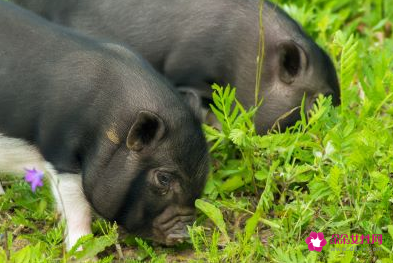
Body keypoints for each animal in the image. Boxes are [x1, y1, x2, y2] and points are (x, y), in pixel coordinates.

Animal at [0, 1, 208, 251]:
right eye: (164, 179)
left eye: (205, 172)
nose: (184, 235)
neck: (109, 124)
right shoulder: (60, 155)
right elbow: (77, 207)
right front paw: (83, 252)